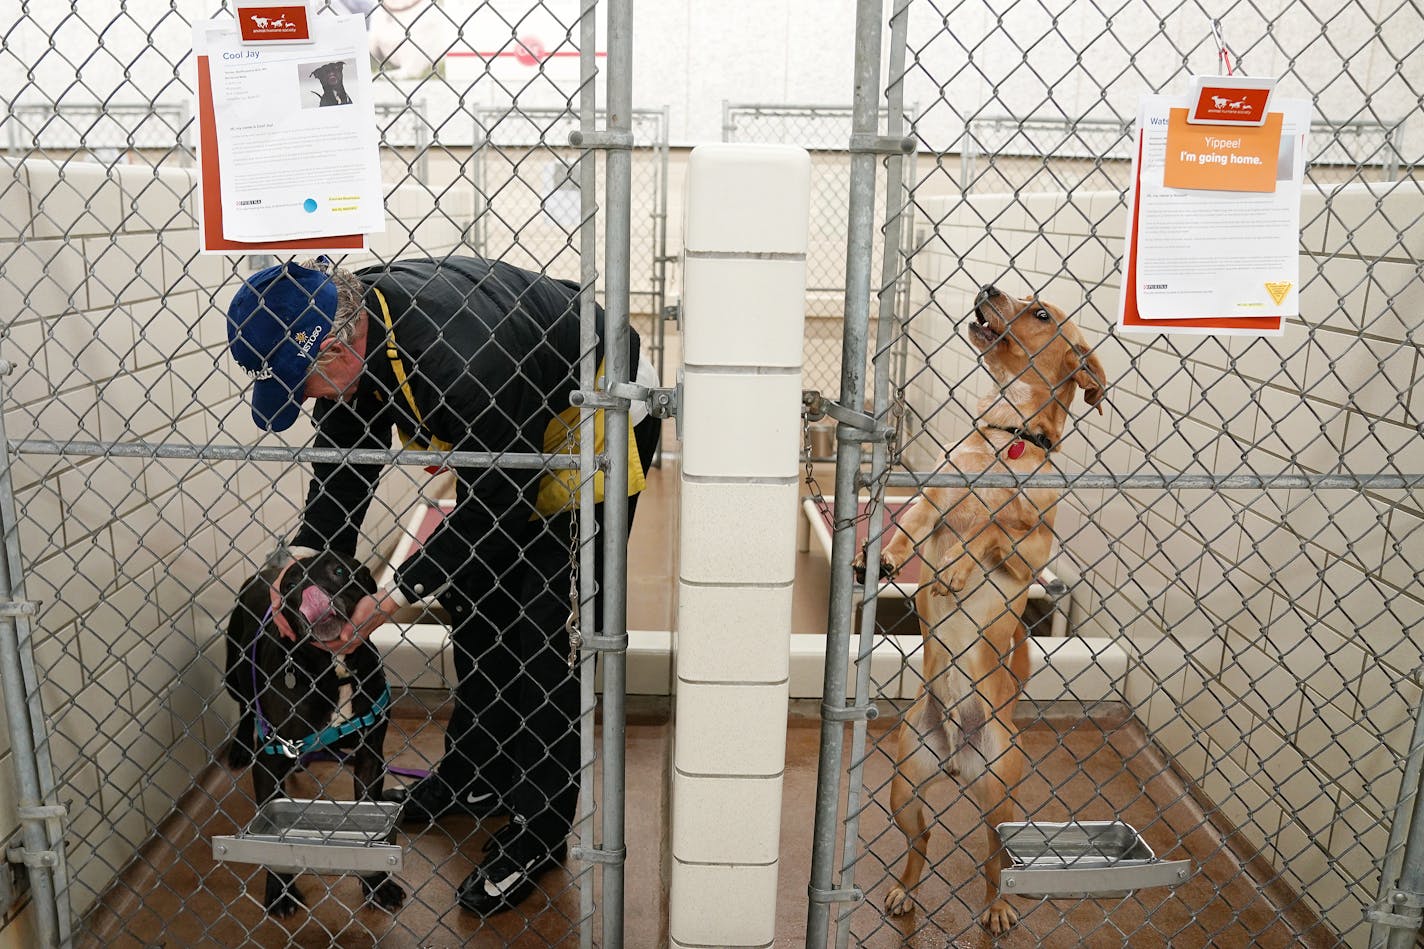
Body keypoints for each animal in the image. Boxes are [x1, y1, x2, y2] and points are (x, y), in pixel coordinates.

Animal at [222, 550, 404, 911]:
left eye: (339, 570)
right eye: (291, 584)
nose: (308, 589)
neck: (332, 669)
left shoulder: (370, 758)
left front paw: (377, 884)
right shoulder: (269, 762)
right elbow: (272, 841)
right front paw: (280, 890)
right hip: (233, 673)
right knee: (245, 707)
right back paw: (239, 747)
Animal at [848, 282, 1105, 929]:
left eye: (1040, 312)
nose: (988, 287)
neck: (1006, 437)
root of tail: (957, 760)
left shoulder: (1033, 547)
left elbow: (991, 528)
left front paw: (960, 569)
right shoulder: (933, 500)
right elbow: (911, 528)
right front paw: (884, 562)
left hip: (1000, 803)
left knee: (995, 860)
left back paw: (997, 909)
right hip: (905, 788)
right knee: (922, 840)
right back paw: (905, 890)